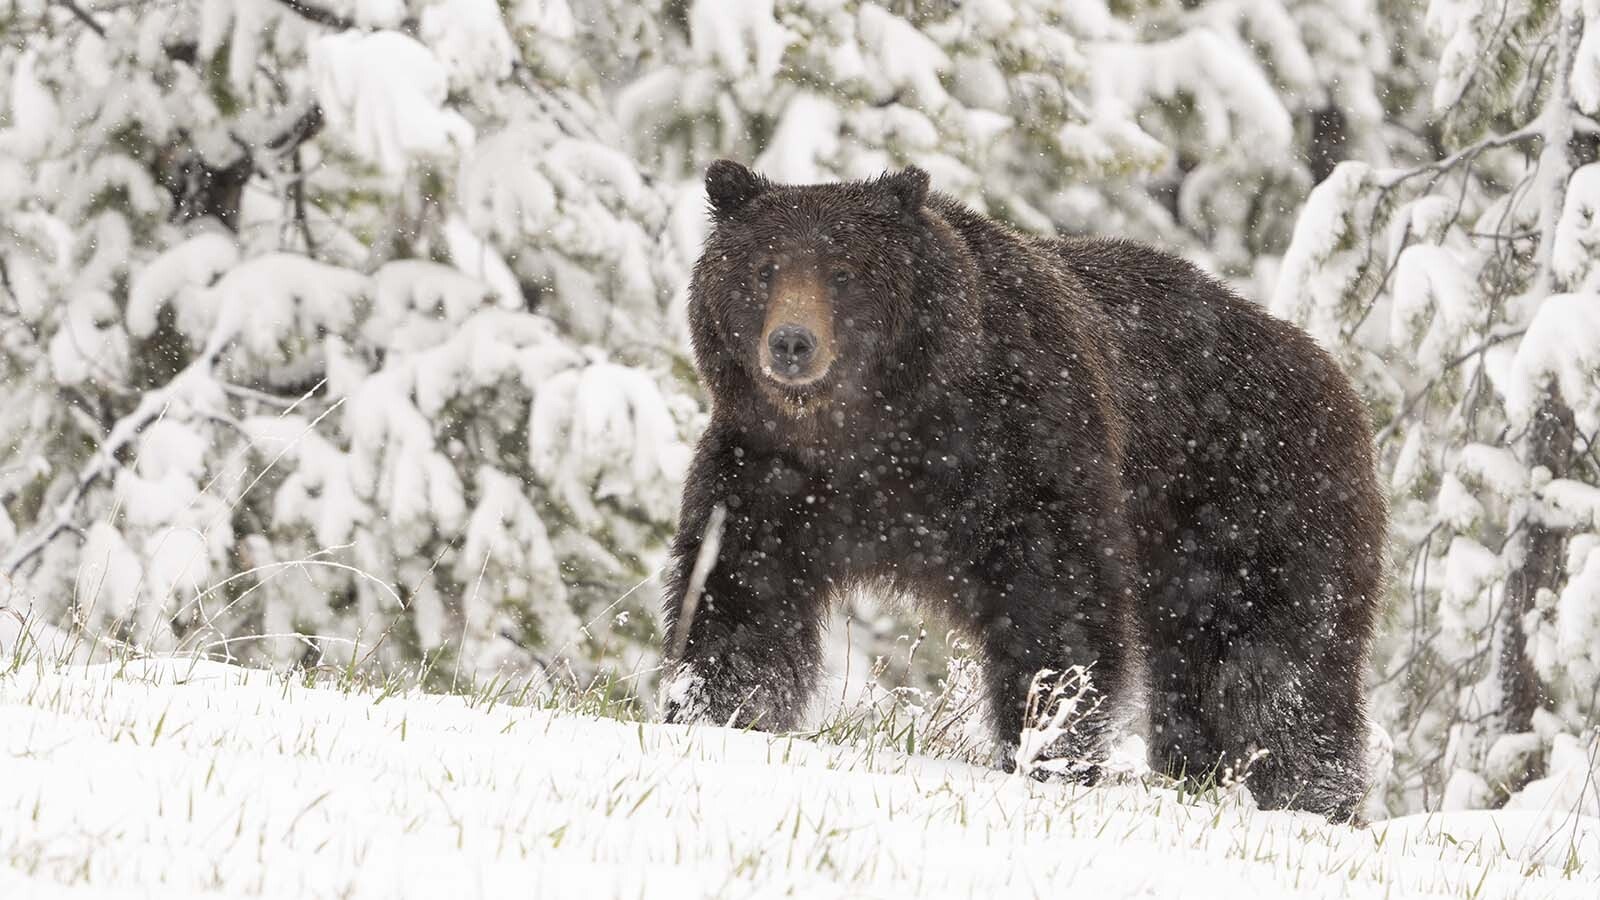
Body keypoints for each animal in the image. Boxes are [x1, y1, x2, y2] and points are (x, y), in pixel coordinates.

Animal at [660, 160, 1386, 820]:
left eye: (844, 272)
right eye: (764, 269)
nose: (791, 344)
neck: (877, 430)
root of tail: (1332, 373)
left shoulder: (1024, 450)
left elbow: (1058, 605)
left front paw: (1049, 747)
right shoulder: (770, 473)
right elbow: (739, 594)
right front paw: (716, 707)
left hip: (1256, 507)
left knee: (1277, 667)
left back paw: (1308, 797)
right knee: (1197, 681)